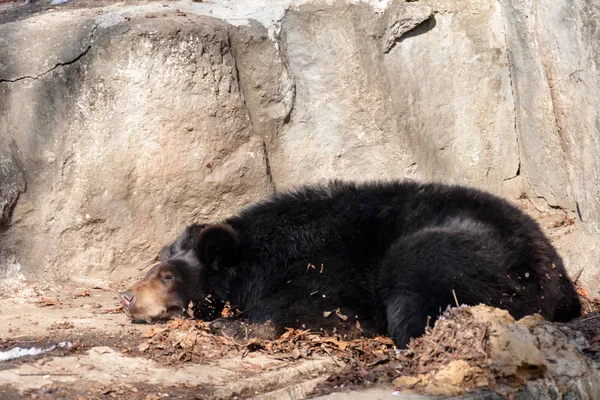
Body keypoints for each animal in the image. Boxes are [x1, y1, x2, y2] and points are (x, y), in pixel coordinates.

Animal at [122, 180, 580, 346]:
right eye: (155, 265)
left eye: (167, 276)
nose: (127, 297)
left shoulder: (322, 262)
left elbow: (317, 303)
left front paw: (232, 324)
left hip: (451, 253)